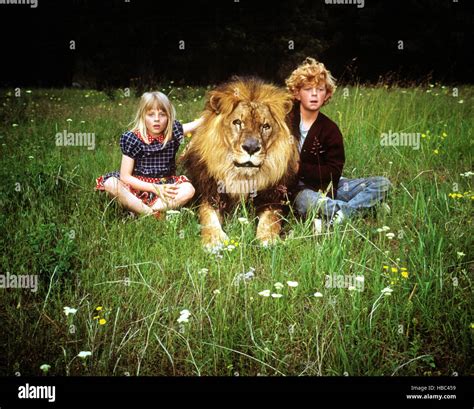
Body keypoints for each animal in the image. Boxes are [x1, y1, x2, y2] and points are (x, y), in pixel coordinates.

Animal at [182, 77, 300, 249]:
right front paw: (213, 240)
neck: (241, 178)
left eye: (265, 126)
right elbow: (208, 216)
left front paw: (269, 239)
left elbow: (271, 220)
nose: (251, 148)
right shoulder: (209, 195)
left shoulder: (272, 199)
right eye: (237, 122)